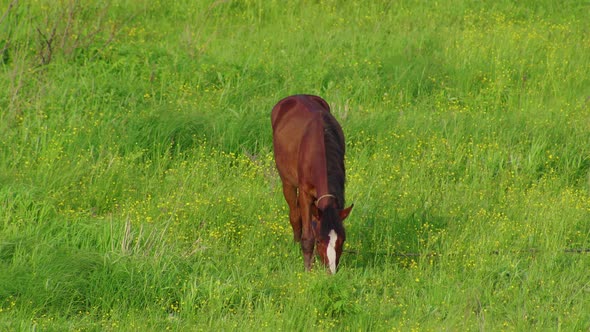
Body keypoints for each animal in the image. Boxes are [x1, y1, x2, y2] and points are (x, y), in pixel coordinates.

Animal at [274, 94, 356, 274]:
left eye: (342, 240)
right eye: (319, 241)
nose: (331, 272)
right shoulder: (305, 193)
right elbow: (307, 235)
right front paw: (308, 269)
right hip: (287, 182)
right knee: (294, 214)